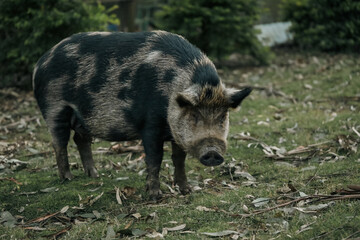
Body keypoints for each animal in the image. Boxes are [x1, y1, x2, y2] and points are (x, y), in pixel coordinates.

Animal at [33, 31, 253, 200]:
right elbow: (155, 158)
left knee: (81, 139)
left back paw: (95, 176)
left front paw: (186, 191)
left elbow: (178, 159)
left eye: (223, 116)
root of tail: (40, 62)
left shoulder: (176, 132)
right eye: (194, 116)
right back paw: (68, 178)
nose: (213, 152)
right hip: (55, 109)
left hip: (83, 118)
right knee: (59, 143)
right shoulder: (150, 124)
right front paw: (155, 196)